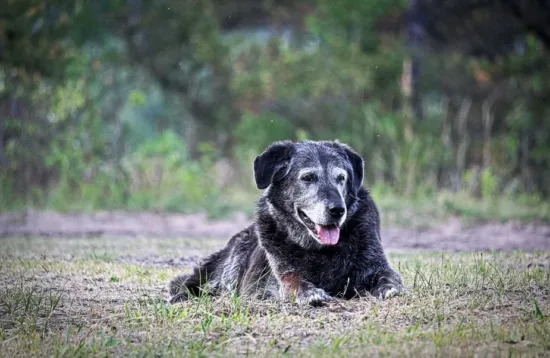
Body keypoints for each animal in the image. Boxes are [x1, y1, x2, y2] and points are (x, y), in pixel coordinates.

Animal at [170, 140, 408, 304]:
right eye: (308, 177)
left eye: (341, 178)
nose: (338, 210)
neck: (320, 250)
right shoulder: (284, 276)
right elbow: (294, 282)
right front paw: (311, 293)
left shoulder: (375, 264)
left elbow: (389, 276)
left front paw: (390, 287)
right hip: (228, 268)